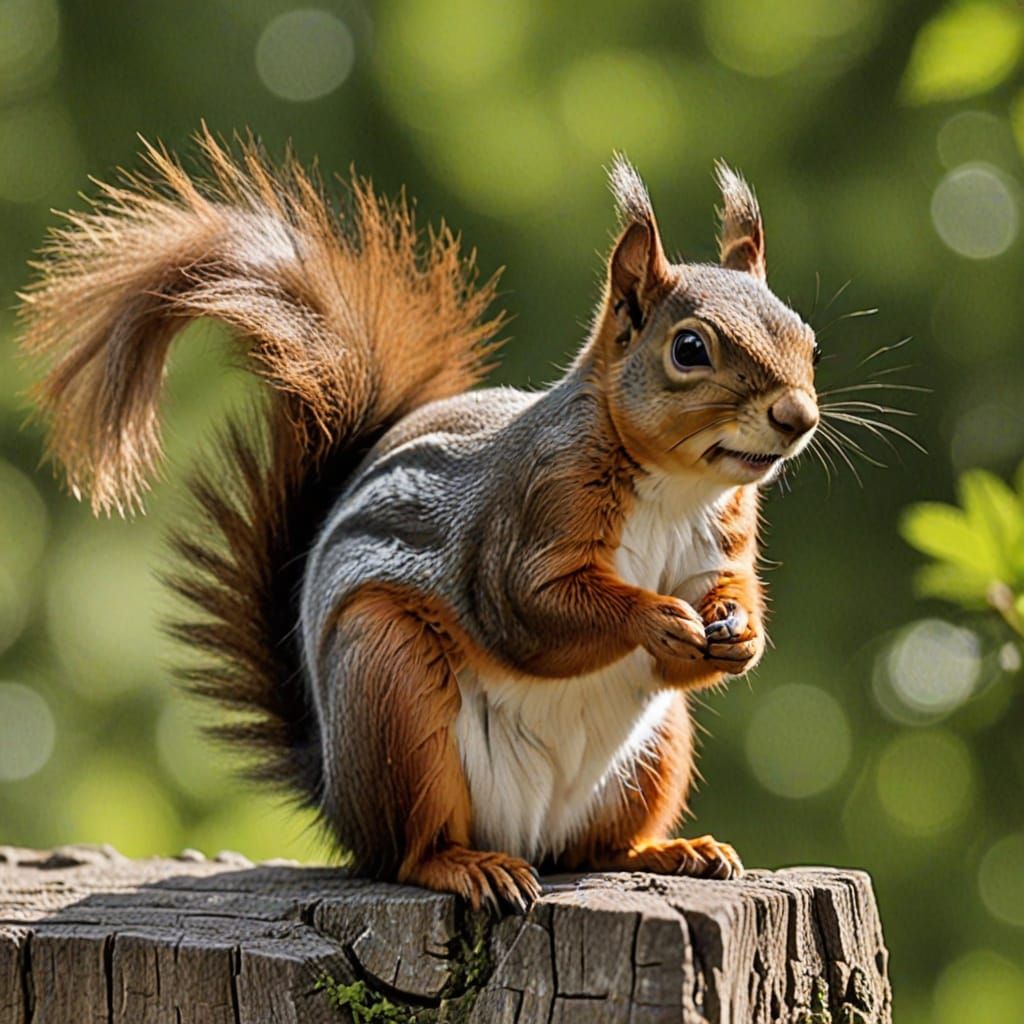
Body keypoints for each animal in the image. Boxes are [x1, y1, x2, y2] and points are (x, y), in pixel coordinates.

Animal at [17, 128, 819, 912]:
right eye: (690, 348)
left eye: (807, 340)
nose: (798, 416)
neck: (675, 486)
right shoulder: (529, 511)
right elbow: (535, 610)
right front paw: (655, 617)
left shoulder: (719, 544)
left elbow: (719, 599)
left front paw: (740, 634)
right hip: (391, 689)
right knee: (408, 852)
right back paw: (468, 867)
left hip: (652, 754)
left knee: (591, 850)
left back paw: (671, 851)